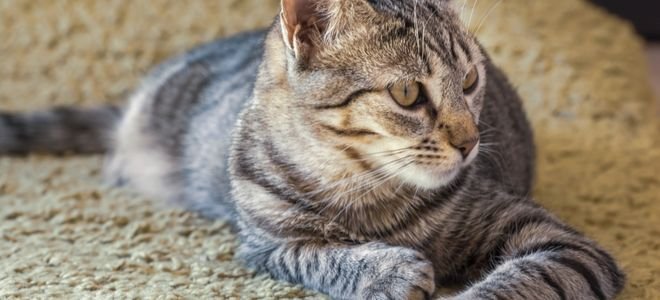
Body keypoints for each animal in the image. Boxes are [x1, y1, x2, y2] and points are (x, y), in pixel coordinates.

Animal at [0, 0, 624, 300]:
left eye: (471, 81)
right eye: (407, 93)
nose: (470, 141)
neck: (360, 187)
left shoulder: (564, 245)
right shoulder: (266, 244)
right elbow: (322, 254)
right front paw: (389, 270)